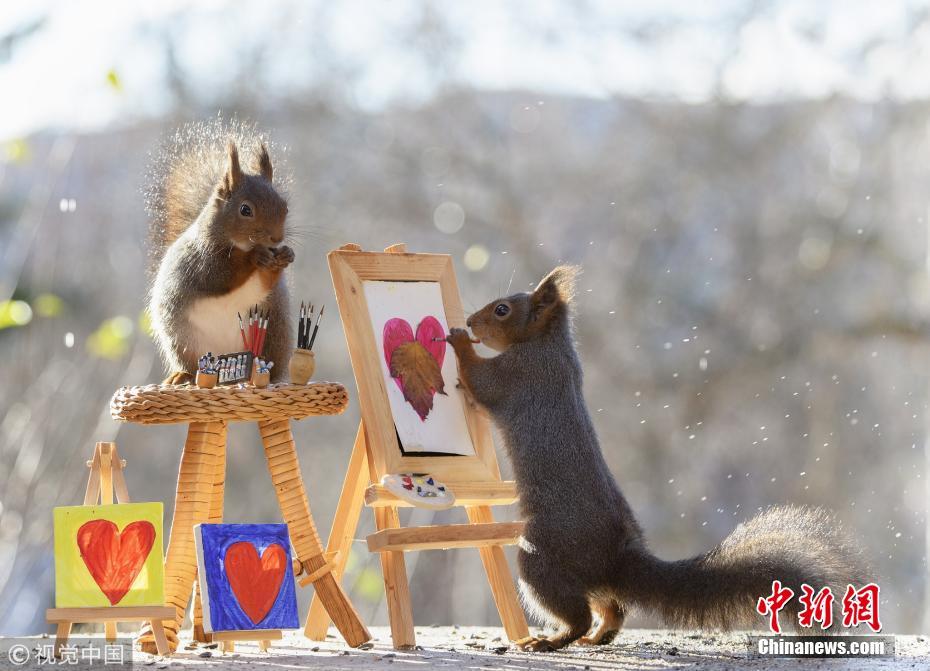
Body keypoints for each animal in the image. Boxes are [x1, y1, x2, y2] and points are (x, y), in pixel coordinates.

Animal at [145, 121, 292, 384]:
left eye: (285, 207)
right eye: (245, 210)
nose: (277, 239)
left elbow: (264, 283)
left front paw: (285, 256)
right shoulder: (200, 263)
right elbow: (222, 276)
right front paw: (255, 256)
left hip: (274, 331)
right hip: (182, 341)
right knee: (190, 365)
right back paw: (181, 375)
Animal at [446, 266, 868, 652]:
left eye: (502, 310)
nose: (469, 321)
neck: (548, 341)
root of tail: (617, 554)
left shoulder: (519, 373)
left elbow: (481, 381)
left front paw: (459, 342)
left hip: (544, 553)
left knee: (578, 611)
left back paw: (551, 640)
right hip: (585, 574)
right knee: (613, 608)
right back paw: (597, 636)